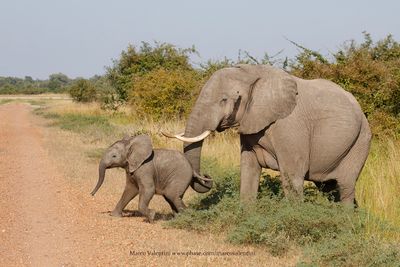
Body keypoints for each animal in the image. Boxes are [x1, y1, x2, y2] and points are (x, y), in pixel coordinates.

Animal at [163, 65, 372, 205]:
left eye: (223, 100)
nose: (207, 177)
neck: (252, 73)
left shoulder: (291, 127)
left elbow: (292, 177)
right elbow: (249, 169)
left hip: (361, 141)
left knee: (345, 186)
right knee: (329, 188)